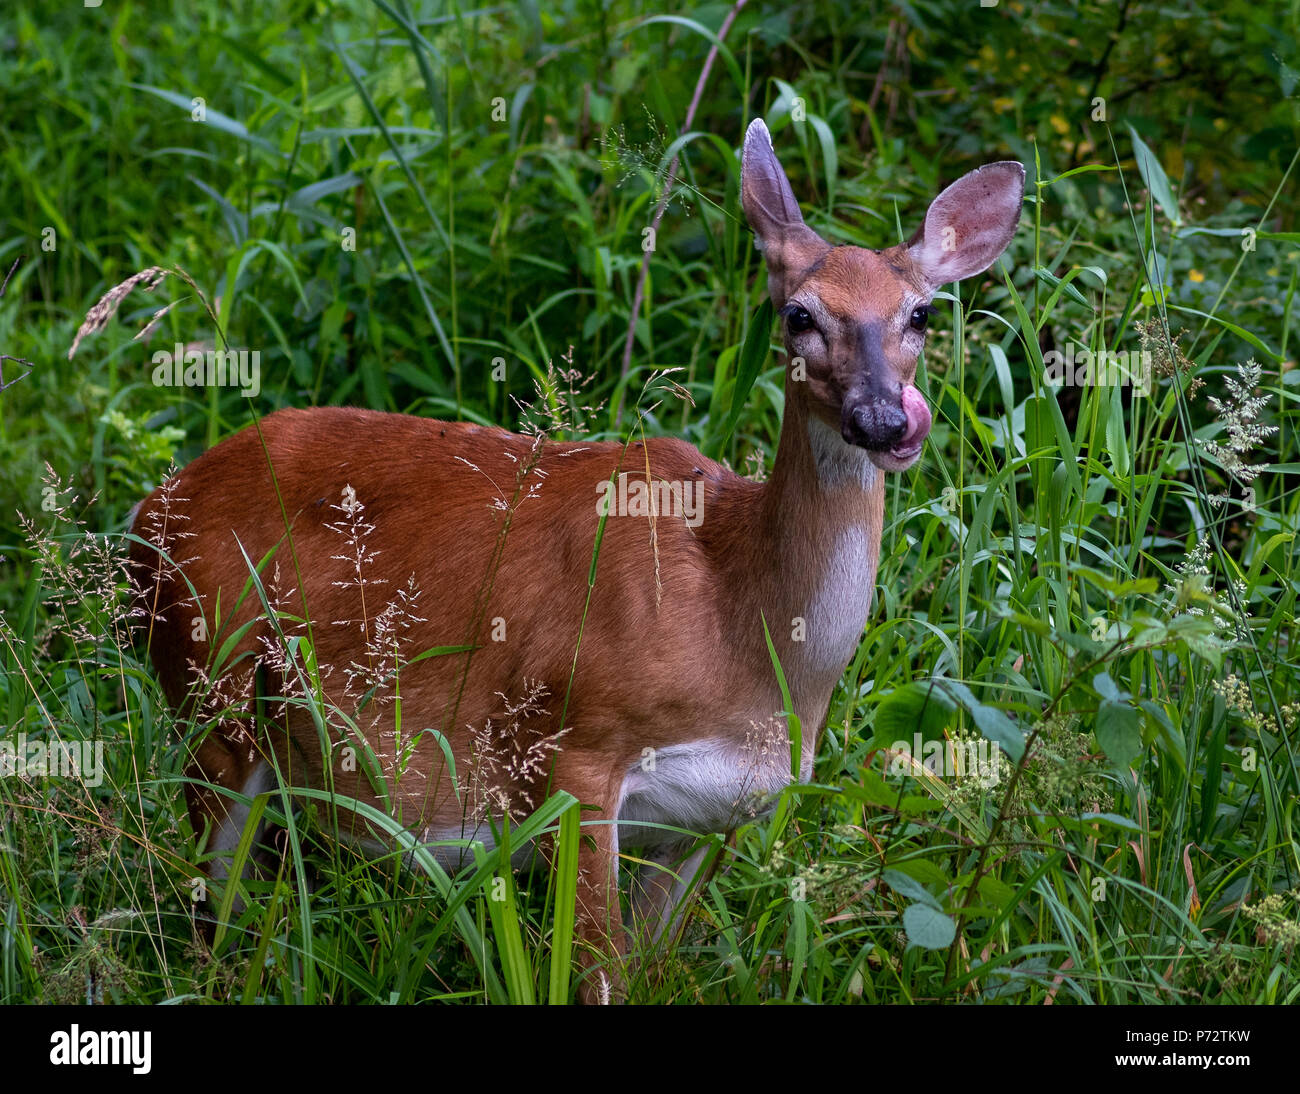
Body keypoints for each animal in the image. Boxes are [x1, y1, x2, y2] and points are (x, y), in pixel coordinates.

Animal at [131, 119, 1024, 997]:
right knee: (208, 913)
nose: (883, 420)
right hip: (209, 689)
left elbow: (651, 968)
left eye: (922, 314)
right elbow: (597, 973)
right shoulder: (574, 749)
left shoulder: (715, 817)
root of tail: (149, 512)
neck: (746, 632)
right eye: (799, 314)